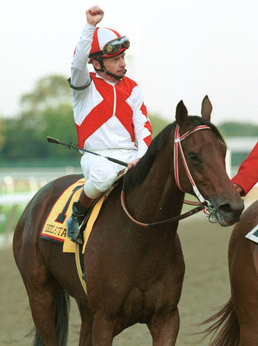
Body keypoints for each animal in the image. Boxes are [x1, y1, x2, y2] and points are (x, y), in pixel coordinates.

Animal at [12, 97, 244, 346]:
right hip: (40, 295)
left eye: (223, 151)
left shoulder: (167, 318)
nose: (233, 207)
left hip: (83, 304)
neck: (141, 240)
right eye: (193, 155)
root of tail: (37, 197)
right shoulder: (104, 320)